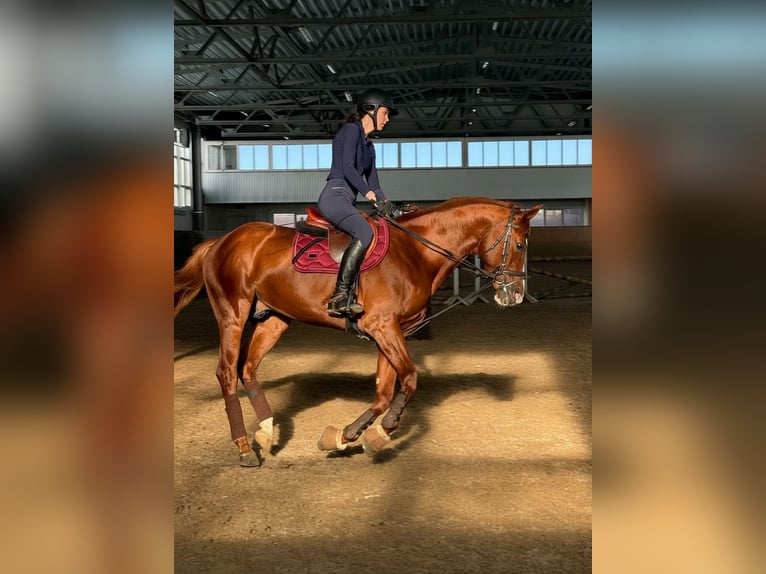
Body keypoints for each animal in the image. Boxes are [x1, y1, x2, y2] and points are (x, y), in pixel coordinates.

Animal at [174, 197, 542, 466]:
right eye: (520, 246)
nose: (515, 295)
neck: (416, 252)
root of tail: (221, 241)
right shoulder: (382, 326)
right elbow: (409, 378)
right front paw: (379, 431)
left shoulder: (391, 332)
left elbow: (384, 392)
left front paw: (350, 436)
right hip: (232, 314)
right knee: (227, 372)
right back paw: (244, 448)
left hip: (274, 318)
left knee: (248, 369)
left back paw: (264, 432)